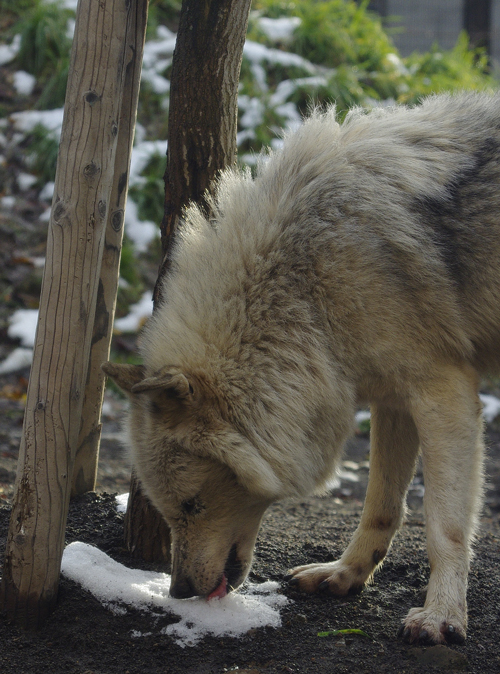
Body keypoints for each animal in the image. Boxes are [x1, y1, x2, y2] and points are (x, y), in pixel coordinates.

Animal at [103, 92, 500, 645]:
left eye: (191, 507)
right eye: (170, 511)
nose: (179, 590)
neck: (306, 283)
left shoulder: (443, 394)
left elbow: (444, 525)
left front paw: (441, 616)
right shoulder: (393, 399)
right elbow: (381, 505)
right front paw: (345, 575)